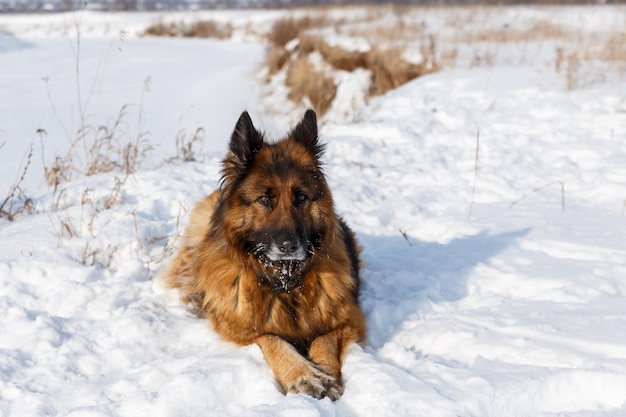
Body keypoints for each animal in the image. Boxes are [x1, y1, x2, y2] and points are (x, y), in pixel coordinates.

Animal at [166, 109, 364, 398]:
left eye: (301, 197)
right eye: (265, 199)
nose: (289, 245)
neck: (284, 282)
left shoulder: (351, 321)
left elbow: (323, 339)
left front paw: (327, 374)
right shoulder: (243, 331)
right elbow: (272, 339)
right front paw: (303, 374)